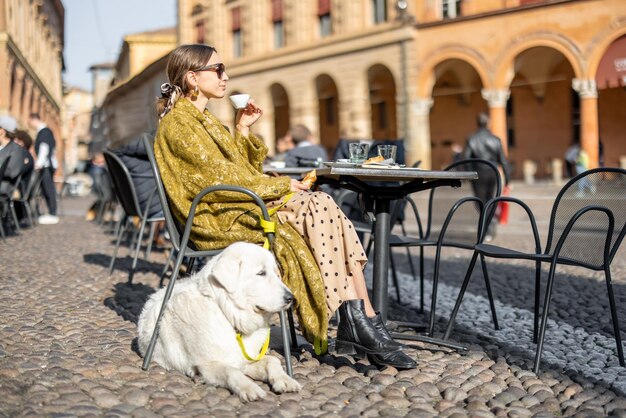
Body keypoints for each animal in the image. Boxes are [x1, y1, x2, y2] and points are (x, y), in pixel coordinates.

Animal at [137, 242, 302, 402]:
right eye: (261, 273)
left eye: (276, 273)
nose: (291, 298)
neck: (228, 314)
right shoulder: (208, 365)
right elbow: (231, 371)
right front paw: (250, 388)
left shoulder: (243, 361)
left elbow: (272, 360)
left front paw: (285, 380)